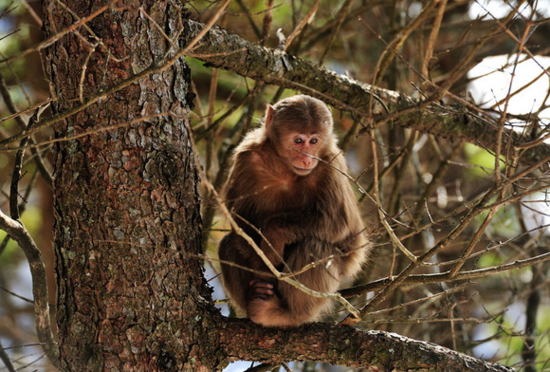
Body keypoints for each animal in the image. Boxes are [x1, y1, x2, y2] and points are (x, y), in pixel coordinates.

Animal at [218, 94, 368, 326]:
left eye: (314, 141)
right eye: (298, 141)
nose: (307, 158)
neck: (285, 168)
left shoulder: (330, 165)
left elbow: (338, 224)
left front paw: (274, 235)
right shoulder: (246, 157)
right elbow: (240, 220)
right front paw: (262, 264)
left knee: (315, 246)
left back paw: (285, 313)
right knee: (229, 243)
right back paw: (256, 295)